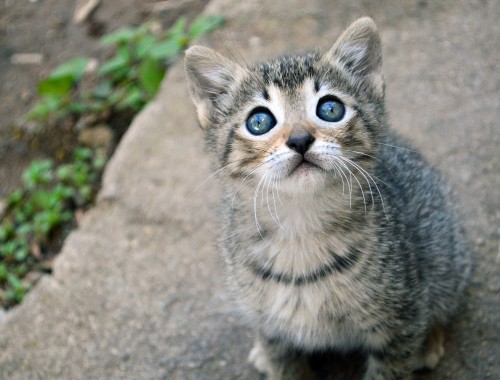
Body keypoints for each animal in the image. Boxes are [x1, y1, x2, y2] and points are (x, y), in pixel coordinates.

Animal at [184, 17, 468, 380]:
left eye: (330, 109)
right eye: (259, 121)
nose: (300, 140)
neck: (300, 226)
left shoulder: (400, 318)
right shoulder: (272, 329)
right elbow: (283, 363)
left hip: (444, 252)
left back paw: (429, 342)